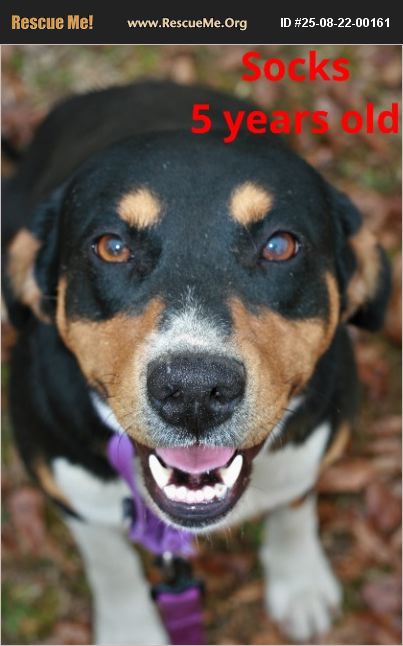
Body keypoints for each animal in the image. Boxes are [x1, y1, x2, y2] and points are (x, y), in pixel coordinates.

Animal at [3, 80, 391, 644]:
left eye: (280, 245)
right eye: (111, 246)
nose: (193, 392)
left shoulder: (315, 445)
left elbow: (294, 508)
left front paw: (299, 583)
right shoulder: (69, 490)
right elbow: (111, 565)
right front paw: (131, 630)